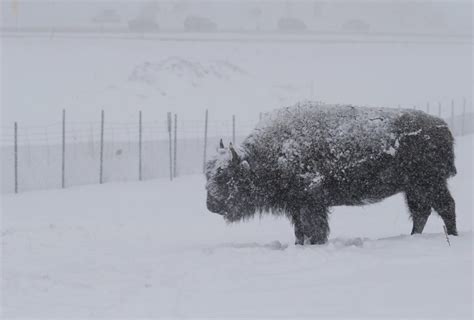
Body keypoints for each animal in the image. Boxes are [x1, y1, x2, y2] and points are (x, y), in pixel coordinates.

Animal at [206, 102, 458, 245]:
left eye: (225, 176)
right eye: (208, 175)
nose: (211, 204)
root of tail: (442, 126)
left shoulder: (311, 202)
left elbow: (314, 228)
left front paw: (315, 244)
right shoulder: (296, 205)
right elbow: (300, 231)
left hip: (430, 183)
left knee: (445, 207)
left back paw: (452, 236)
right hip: (414, 188)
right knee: (421, 212)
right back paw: (414, 237)